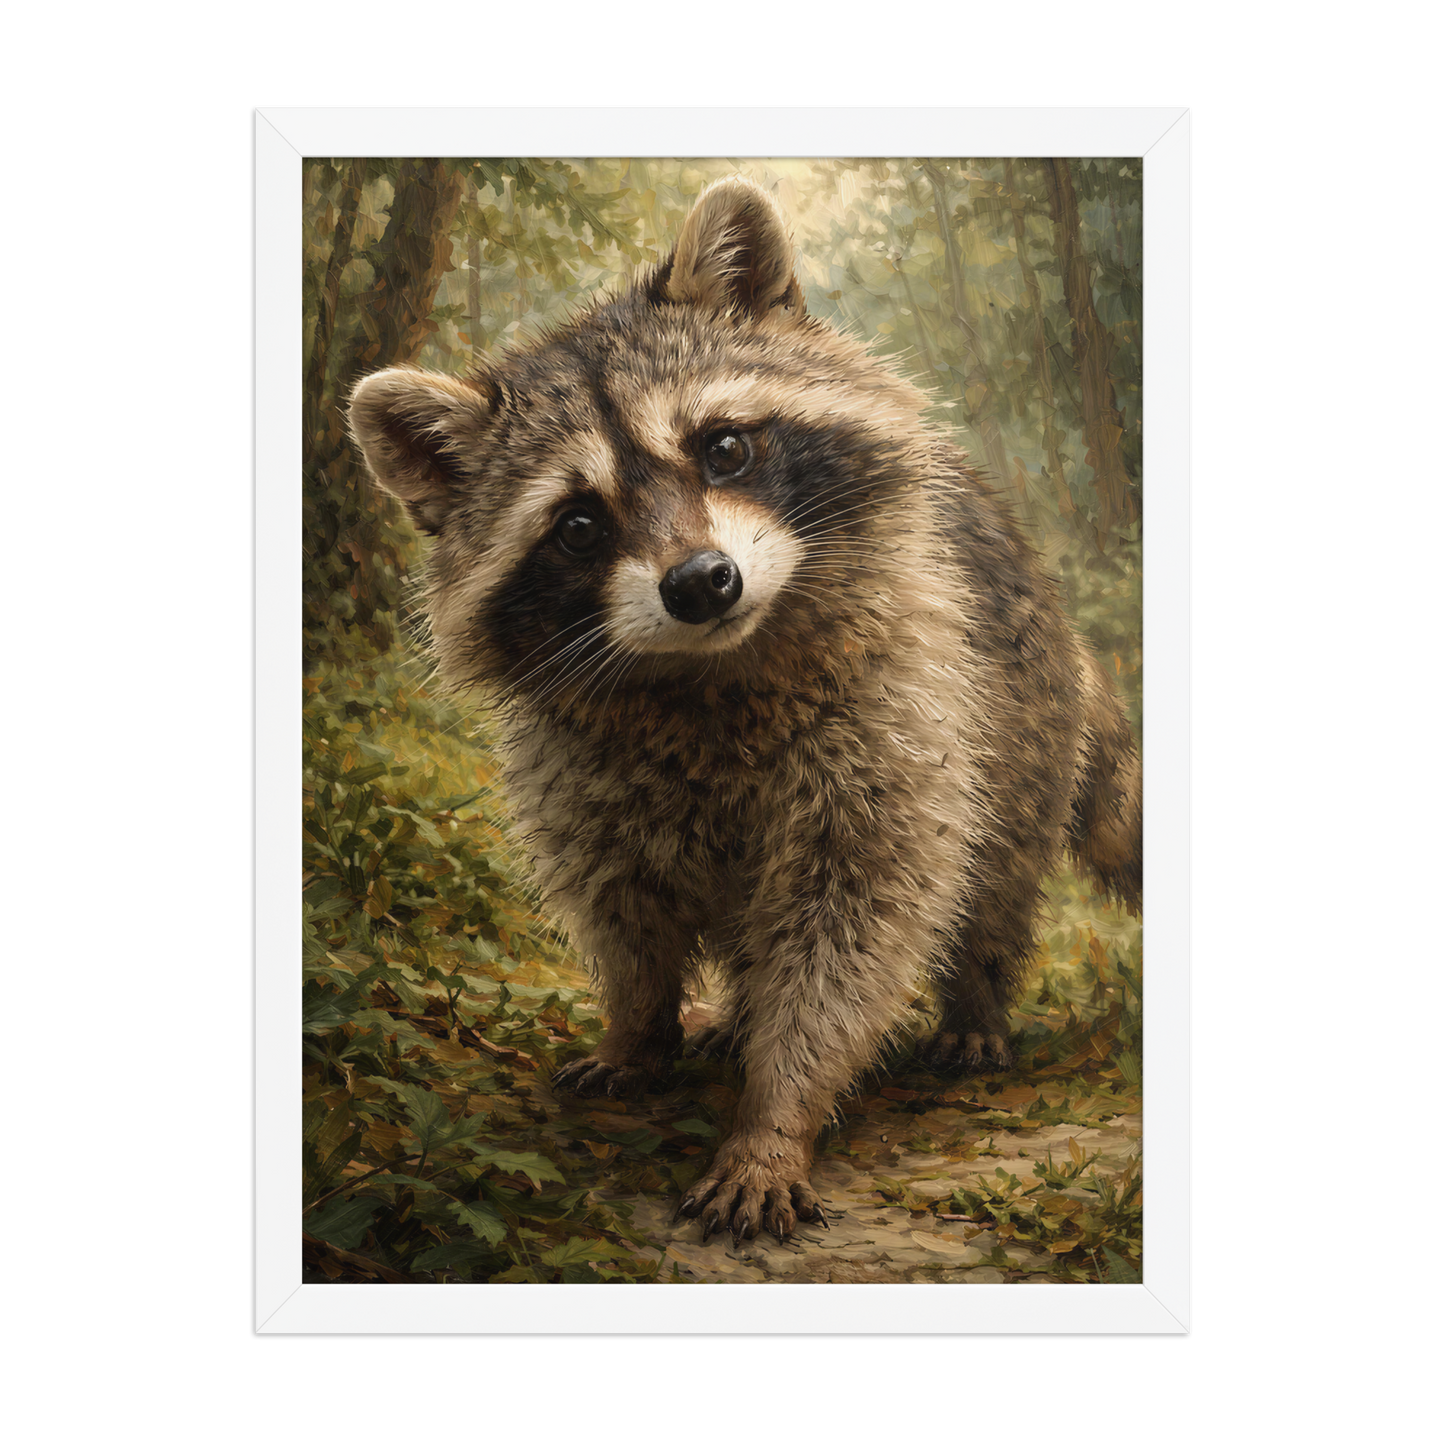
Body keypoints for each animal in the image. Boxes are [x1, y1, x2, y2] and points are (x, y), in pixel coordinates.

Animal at [348, 175, 1141, 1246]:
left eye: (723, 447)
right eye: (578, 524)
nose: (700, 583)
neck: (710, 672)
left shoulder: (899, 713)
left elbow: (851, 929)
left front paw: (775, 1116)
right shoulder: (577, 770)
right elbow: (621, 909)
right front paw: (638, 1026)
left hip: (1018, 718)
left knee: (993, 875)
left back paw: (974, 999)